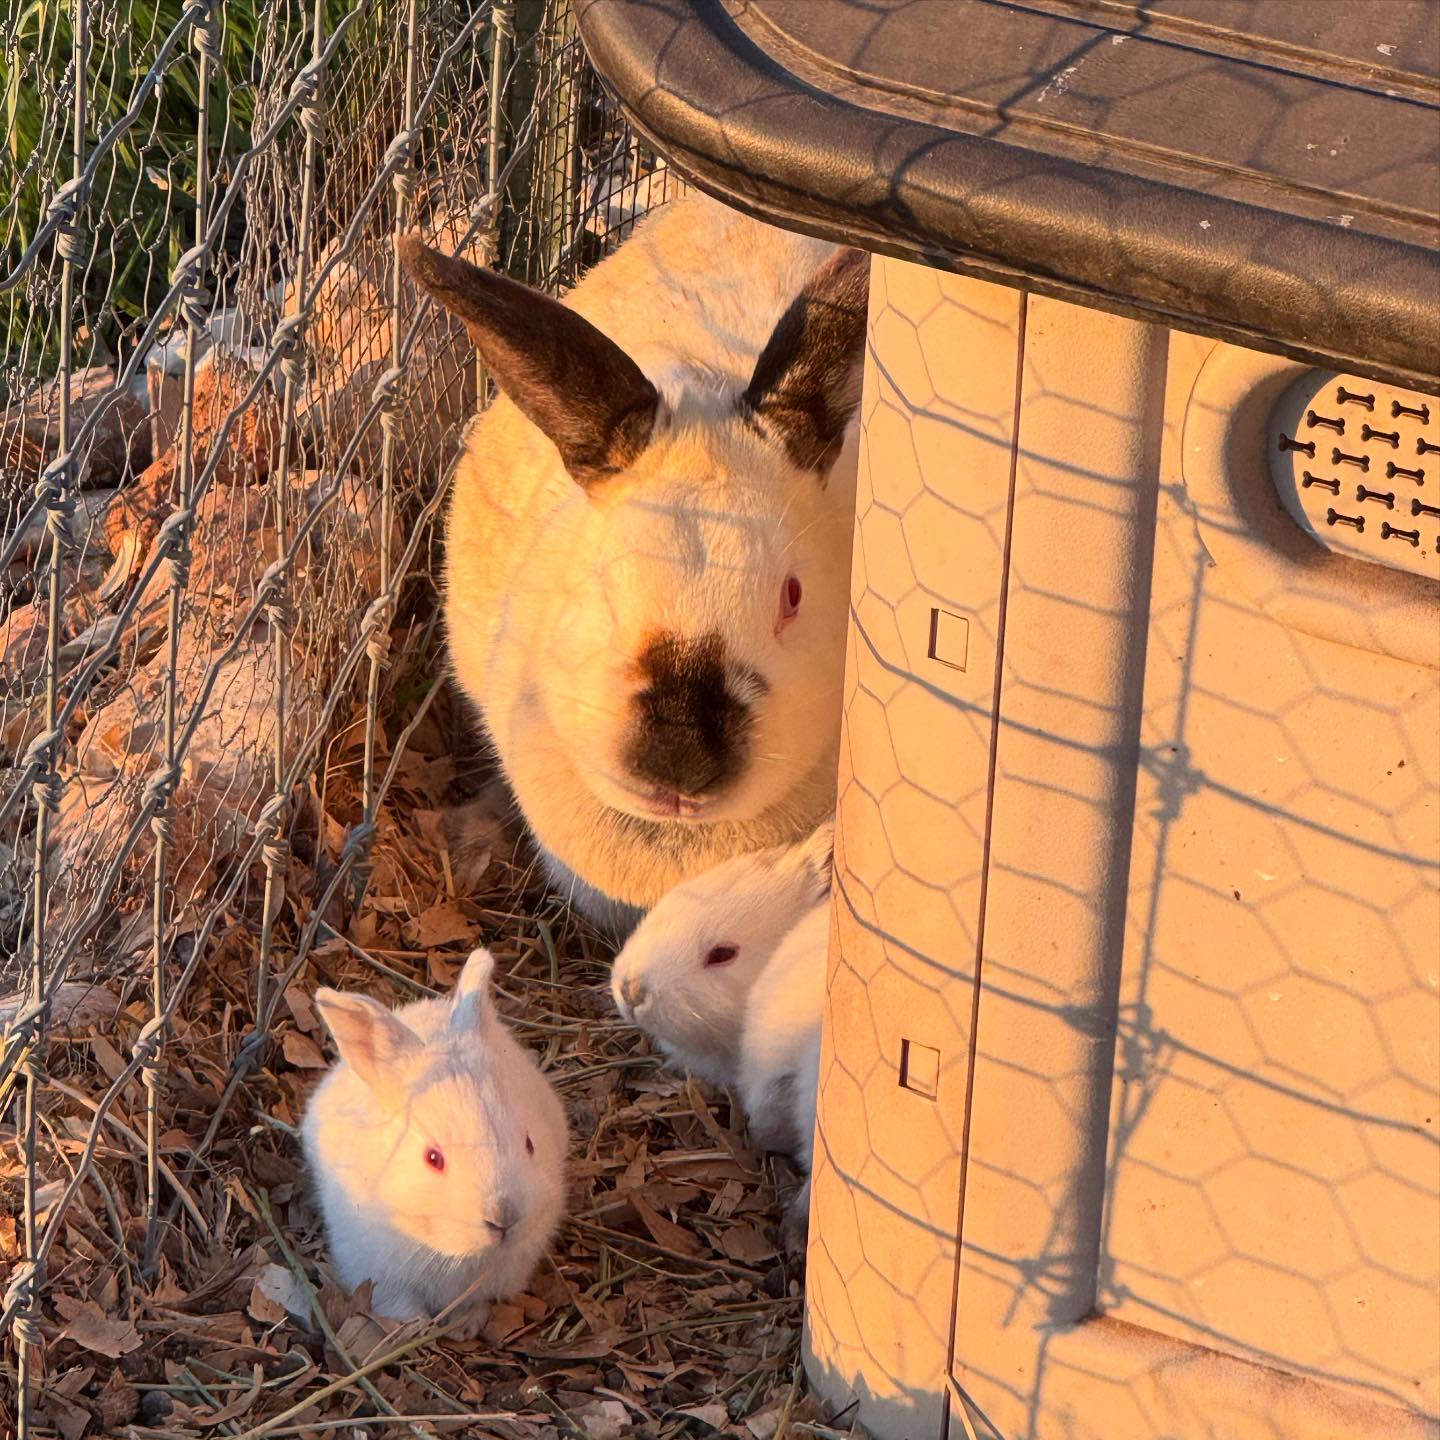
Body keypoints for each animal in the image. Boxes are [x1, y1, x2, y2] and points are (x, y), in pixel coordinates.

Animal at [301, 948, 567, 1334]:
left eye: (530, 1143)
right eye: (433, 1158)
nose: (504, 1217)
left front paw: (466, 1324)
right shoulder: (380, 1275)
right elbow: (401, 1307)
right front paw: (413, 1328)